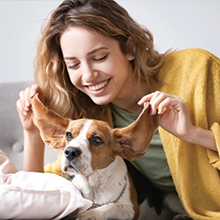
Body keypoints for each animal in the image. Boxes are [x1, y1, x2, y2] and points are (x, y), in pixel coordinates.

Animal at [30, 93, 158, 219]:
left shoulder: (133, 209)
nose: (70, 152)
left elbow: (113, 205)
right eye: (68, 134)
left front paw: (90, 214)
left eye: (97, 140)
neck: (93, 185)